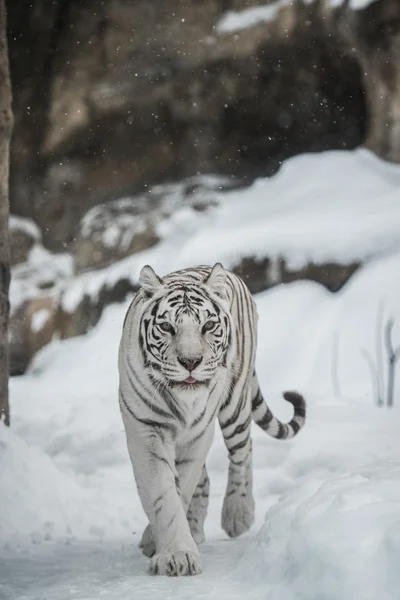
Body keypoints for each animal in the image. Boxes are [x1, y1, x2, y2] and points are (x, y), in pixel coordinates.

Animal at [119, 262, 306, 576]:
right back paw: (195, 528)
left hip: (235, 403)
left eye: (207, 326)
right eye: (167, 327)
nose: (190, 361)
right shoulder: (148, 430)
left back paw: (237, 514)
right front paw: (176, 553)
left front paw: (169, 549)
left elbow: (181, 488)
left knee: (242, 451)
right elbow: (164, 493)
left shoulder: (198, 433)